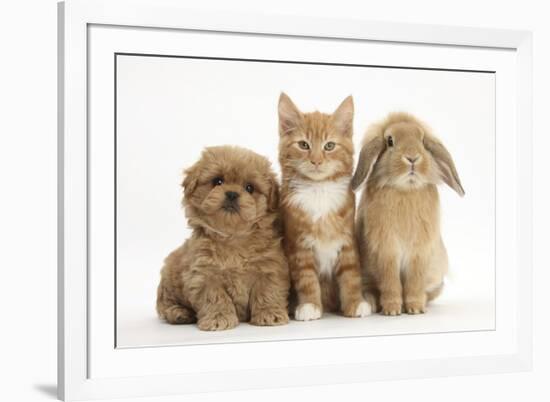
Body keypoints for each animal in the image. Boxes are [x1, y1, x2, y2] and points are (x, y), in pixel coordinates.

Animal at [156, 144, 292, 330]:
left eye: (250, 188)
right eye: (217, 181)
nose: (232, 194)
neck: (232, 238)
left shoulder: (270, 269)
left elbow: (268, 292)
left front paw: (270, 314)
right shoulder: (204, 275)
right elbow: (216, 297)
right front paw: (218, 318)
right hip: (168, 277)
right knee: (164, 304)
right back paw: (179, 313)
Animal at [278, 92, 374, 320]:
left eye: (329, 146)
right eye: (303, 145)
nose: (316, 161)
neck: (319, 189)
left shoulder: (347, 240)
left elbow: (351, 275)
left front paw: (356, 303)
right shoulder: (299, 245)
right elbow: (307, 279)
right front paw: (309, 306)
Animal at [352, 111, 464, 316]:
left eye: (422, 140)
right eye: (390, 141)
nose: (412, 158)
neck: (406, 190)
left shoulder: (419, 252)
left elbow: (414, 282)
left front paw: (415, 308)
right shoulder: (387, 251)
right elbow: (390, 282)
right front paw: (392, 310)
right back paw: (373, 303)